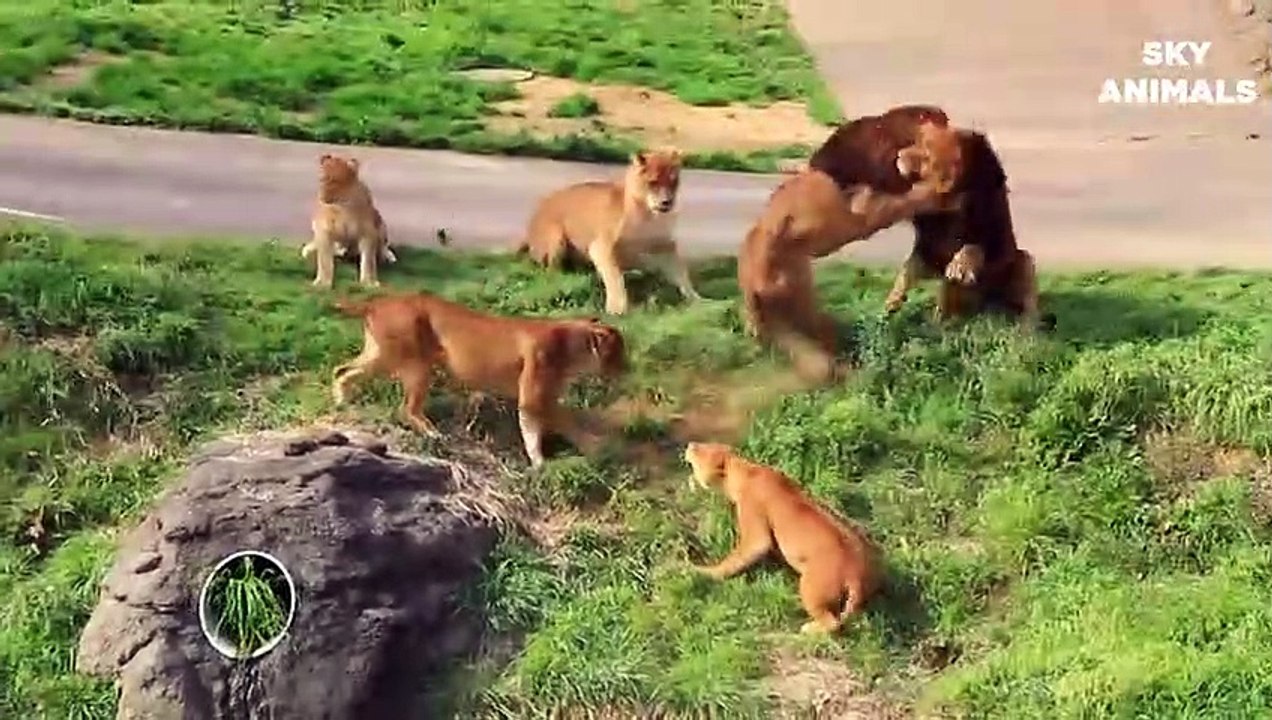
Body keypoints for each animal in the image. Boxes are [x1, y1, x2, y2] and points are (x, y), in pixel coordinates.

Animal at [303, 153, 396, 289]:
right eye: (322, 179)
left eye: (335, 181)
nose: (322, 197)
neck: (342, 206)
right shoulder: (323, 231)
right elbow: (324, 260)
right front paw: (322, 283)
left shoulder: (368, 233)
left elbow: (368, 261)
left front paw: (369, 282)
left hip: (380, 222)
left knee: (382, 246)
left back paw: (387, 256)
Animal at [329, 292, 628, 468]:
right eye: (618, 352)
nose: (627, 368)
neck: (571, 343)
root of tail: (376, 302)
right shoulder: (534, 398)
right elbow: (545, 424)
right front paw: (543, 463)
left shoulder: (546, 397)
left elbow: (563, 420)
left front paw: (593, 447)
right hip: (417, 364)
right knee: (408, 408)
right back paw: (434, 433)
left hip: (381, 355)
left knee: (341, 370)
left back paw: (341, 399)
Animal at [516, 147, 701, 315]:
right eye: (653, 182)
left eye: (673, 182)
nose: (667, 202)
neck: (647, 215)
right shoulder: (601, 247)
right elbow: (615, 278)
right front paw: (617, 308)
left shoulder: (665, 247)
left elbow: (682, 274)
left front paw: (699, 301)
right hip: (556, 238)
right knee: (550, 271)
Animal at [684, 442, 882, 635]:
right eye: (706, 444)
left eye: (701, 451)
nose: (690, 445)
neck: (746, 470)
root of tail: (856, 573)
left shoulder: (755, 529)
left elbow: (737, 557)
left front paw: (702, 571)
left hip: (810, 588)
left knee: (832, 623)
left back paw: (808, 629)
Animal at [737, 122, 965, 382]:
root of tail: (750, 288)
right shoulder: (867, 214)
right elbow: (914, 197)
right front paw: (947, 195)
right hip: (798, 301)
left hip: (794, 311)